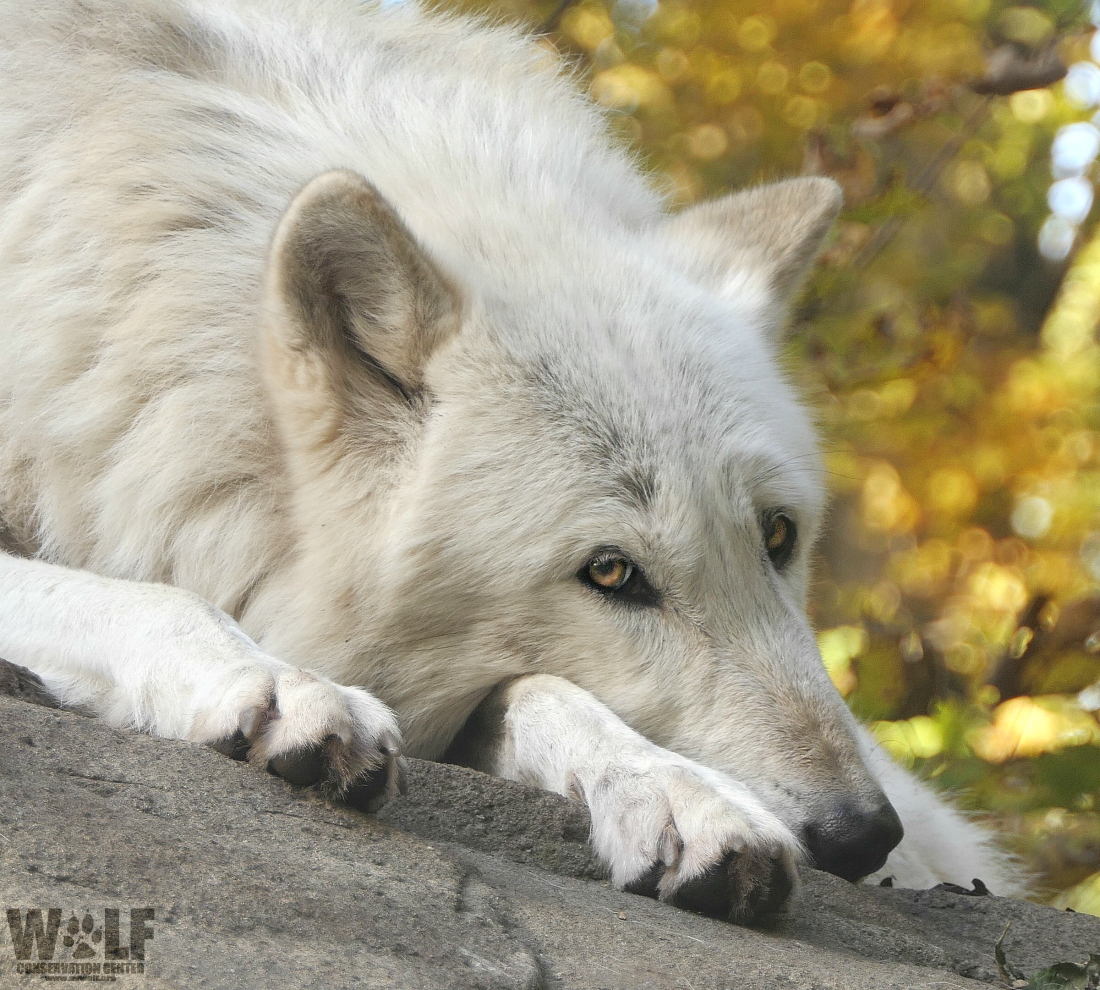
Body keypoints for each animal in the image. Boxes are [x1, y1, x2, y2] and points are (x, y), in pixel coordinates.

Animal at [0, 0, 1018, 921]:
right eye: (609, 572)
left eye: (778, 536)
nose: (862, 836)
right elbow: (152, 598)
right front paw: (281, 685)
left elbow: (545, 694)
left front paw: (679, 796)